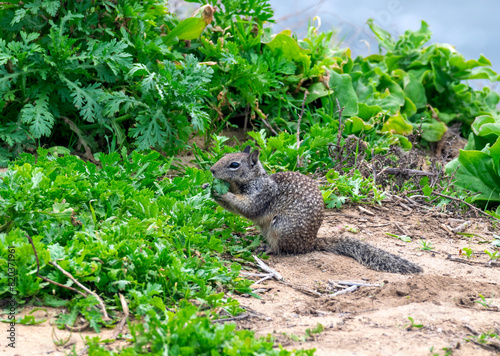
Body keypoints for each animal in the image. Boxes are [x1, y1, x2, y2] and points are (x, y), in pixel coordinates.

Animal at [210, 146, 422, 274]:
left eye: (234, 165)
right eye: (224, 157)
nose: (211, 170)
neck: (253, 180)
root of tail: (311, 243)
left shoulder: (261, 195)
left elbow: (247, 208)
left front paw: (222, 193)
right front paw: (209, 187)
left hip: (281, 227)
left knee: (281, 249)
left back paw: (266, 248)